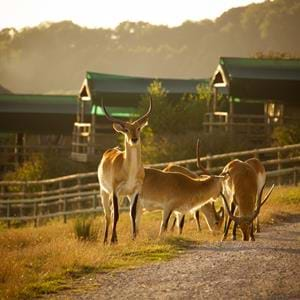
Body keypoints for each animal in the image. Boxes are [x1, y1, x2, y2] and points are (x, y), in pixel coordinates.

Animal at [98, 98, 151, 244]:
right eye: (126, 130)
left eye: (138, 128)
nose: (134, 139)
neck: (129, 171)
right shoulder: (115, 190)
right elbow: (116, 215)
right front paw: (111, 240)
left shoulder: (135, 191)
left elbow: (132, 213)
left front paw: (133, 237)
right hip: (105, 192)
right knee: (107, 214)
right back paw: (106, 240)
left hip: (122, 196)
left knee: (111, 212)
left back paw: (115, 239)